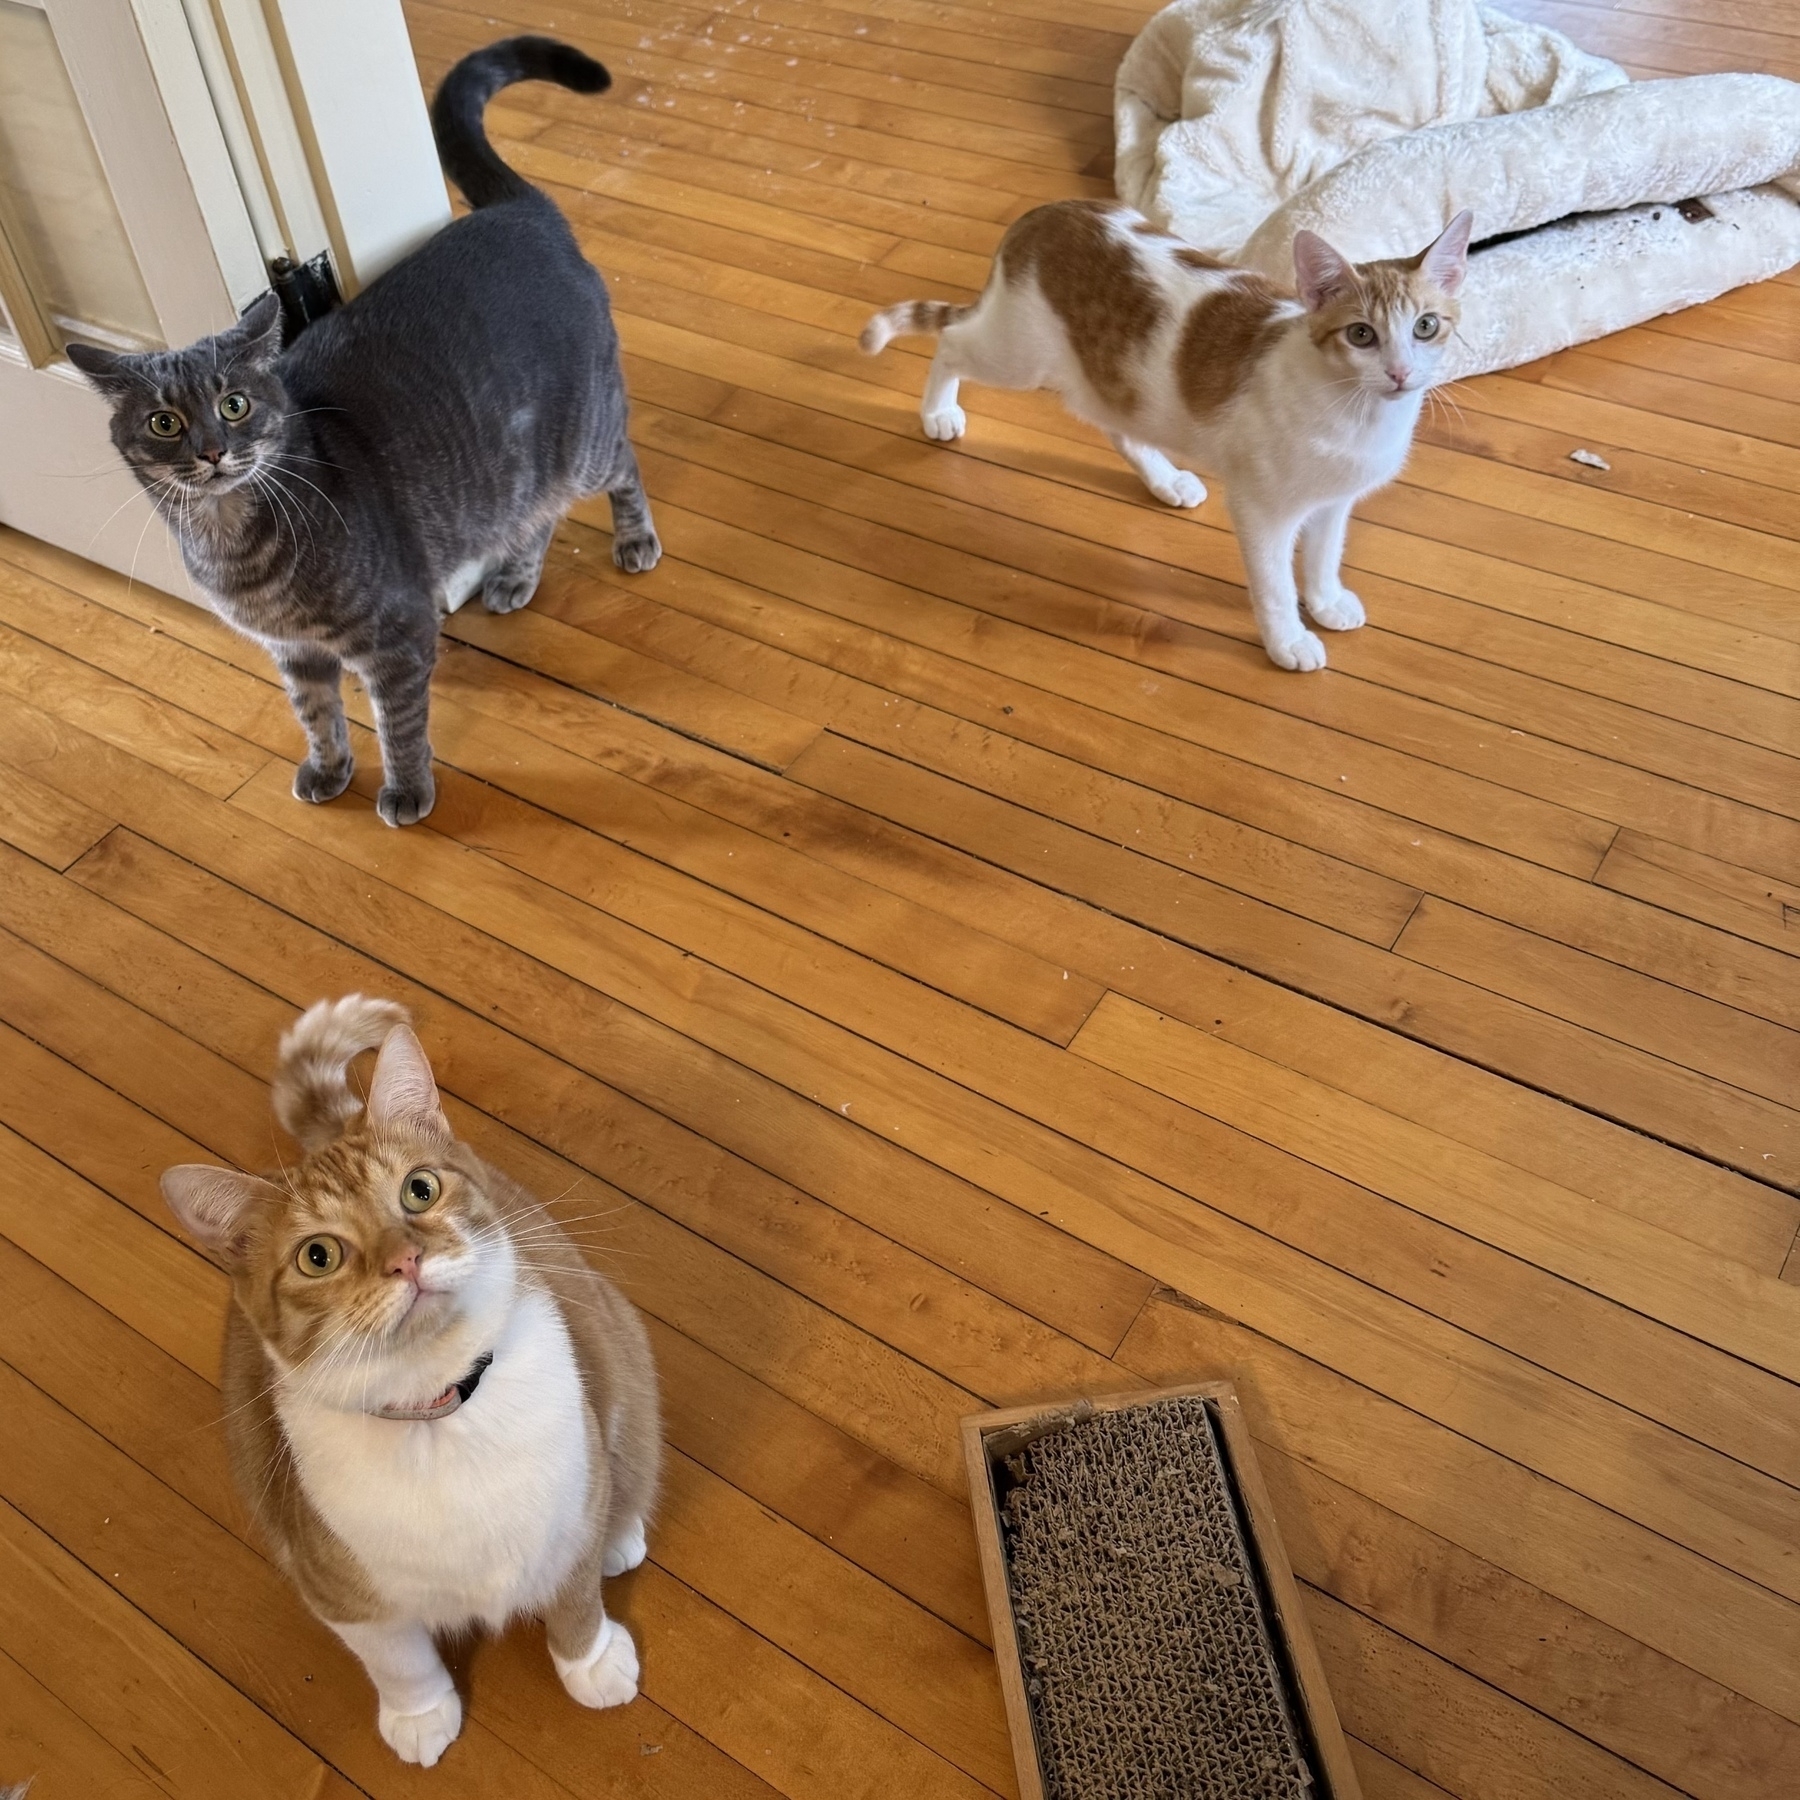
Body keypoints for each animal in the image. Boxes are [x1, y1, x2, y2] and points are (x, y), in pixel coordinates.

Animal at [72, 36, 662, 824]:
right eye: (165, 422)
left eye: (235, 405)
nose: (213, 452)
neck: (229, 539)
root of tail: (526, 212)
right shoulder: (295, 653)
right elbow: (317, 715)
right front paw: (329, 768)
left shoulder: (397, 635)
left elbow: (398, 721)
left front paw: (406, 789)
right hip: (515, 467)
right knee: (535, 514)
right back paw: (513, 573)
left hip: (582, 438)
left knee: (623, 462)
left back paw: (633, 539)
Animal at [162, 1000, 662, 1771]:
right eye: (318, 1256)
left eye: (418, 1189)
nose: (405, 1260)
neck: (441, 1418)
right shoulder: (345, 1593)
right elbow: (399, 1660)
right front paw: (421, 1715)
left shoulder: (569, 1518)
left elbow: (575, 1600)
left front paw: (591, 1662)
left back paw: (621, 1535)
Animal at [860, 198, 1476, 676]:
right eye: (1361, 335)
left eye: (1426, 327)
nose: (1400, 373)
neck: (1358, 414)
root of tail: (1042, 214)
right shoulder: (1262, 508)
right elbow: (1275, 586)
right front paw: (1289, 641)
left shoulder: (1333, 502)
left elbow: (1324, 557)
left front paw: (1325, 602)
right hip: (1016, 354)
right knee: (952, 344)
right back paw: (939, 412)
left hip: (1110, 374)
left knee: (1117, 425)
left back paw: (1166, 481)